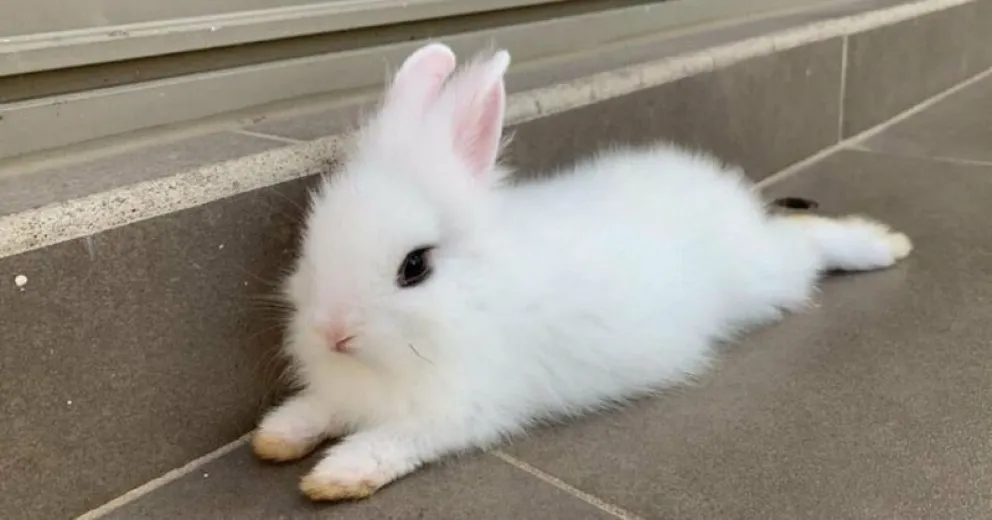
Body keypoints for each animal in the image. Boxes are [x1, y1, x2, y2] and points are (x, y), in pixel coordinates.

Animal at [250, 42, 912, 502]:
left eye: (415, 267)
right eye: (312, 245)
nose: (333, 332)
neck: (470, 301)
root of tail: (725, 195)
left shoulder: (455, 411)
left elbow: (390, 442)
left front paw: (337, 476)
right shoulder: (345, 391)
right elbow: (316, 409)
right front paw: (277, 437)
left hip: (764, 276)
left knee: (805, 243)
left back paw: (885, 245)